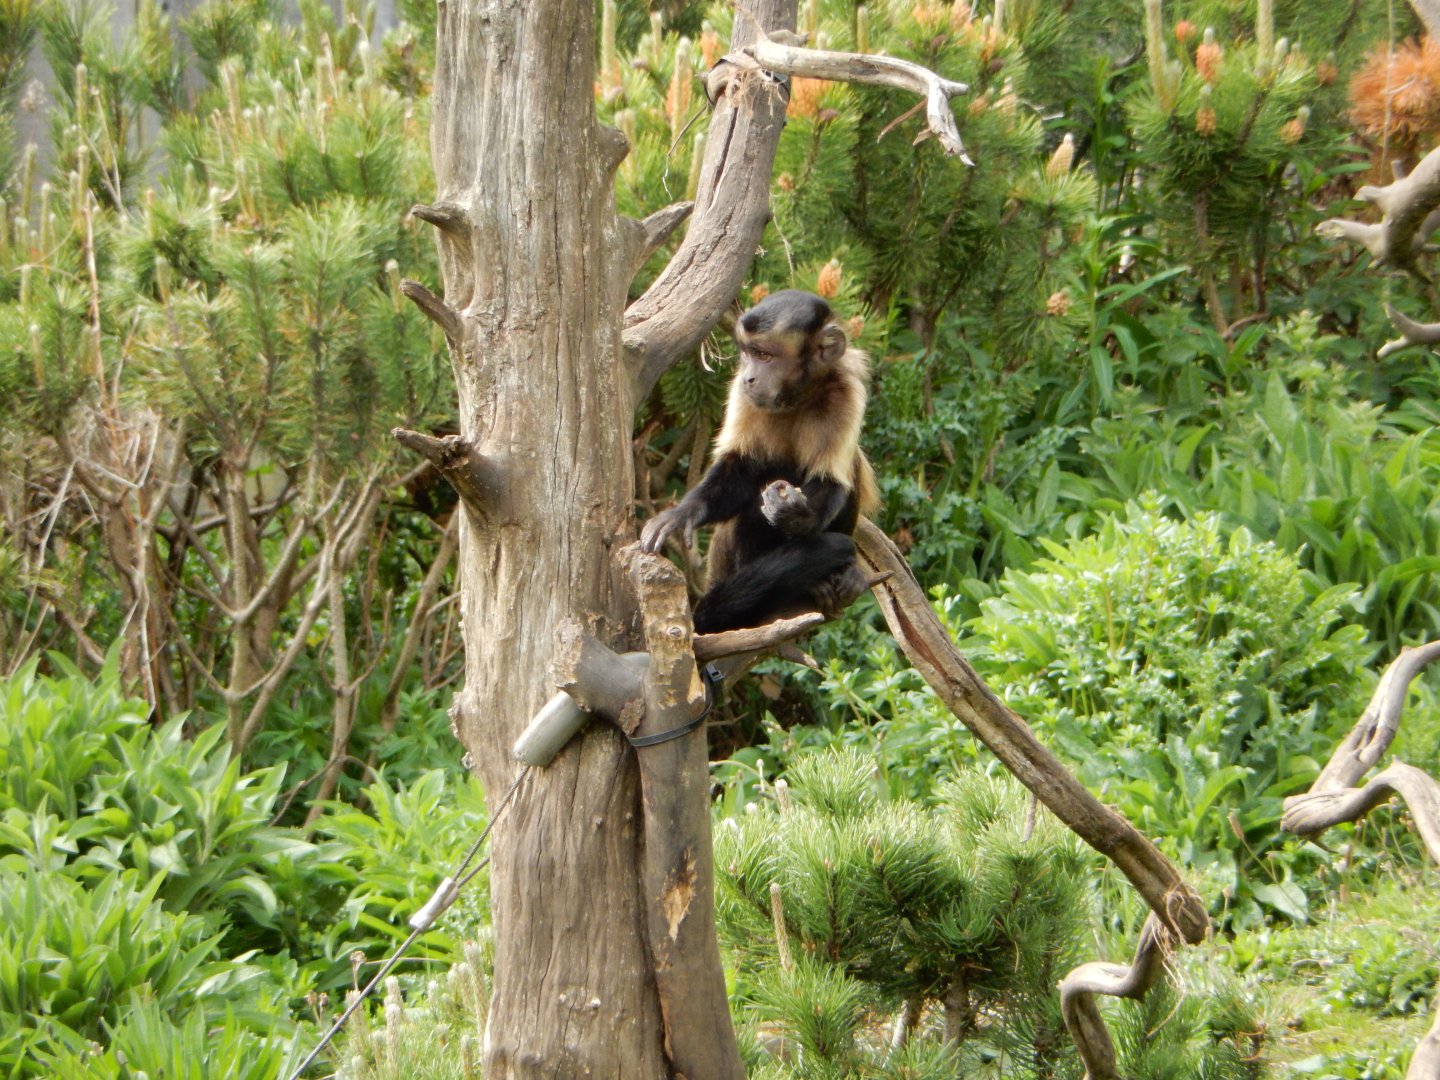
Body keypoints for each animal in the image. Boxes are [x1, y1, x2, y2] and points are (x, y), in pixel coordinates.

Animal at [640, 289, 880, 634]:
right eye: (748, 353)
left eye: (765, 355)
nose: (750, 377)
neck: (797, 398)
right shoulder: (740, 393)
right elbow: (738, 469)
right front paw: (682, 513)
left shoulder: (846, 392)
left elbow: (832, 481)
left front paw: (796, 516)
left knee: (851, 470)